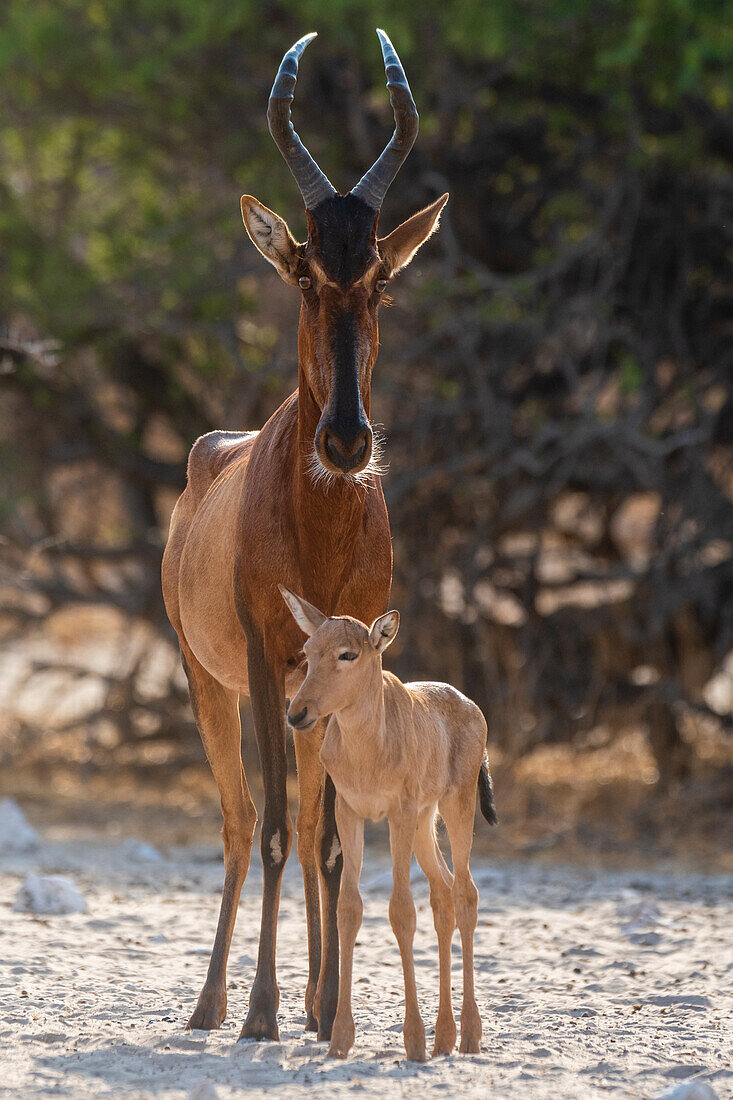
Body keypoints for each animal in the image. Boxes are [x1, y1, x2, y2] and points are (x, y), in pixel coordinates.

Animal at [279, 589, 497, 1060]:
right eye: (308, 650)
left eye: (348, 653)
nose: (298, 713)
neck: (370, 744)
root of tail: (471, 707)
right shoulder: (351, 814)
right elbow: (348, 909)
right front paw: (339, 1039)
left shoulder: (398, 813)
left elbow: (400, 911)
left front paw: (412, 1040)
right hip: (424, 824)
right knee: (443, 894)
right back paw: (444, 1037)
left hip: (454, 807)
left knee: (465, 894)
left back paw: (469, 1036)